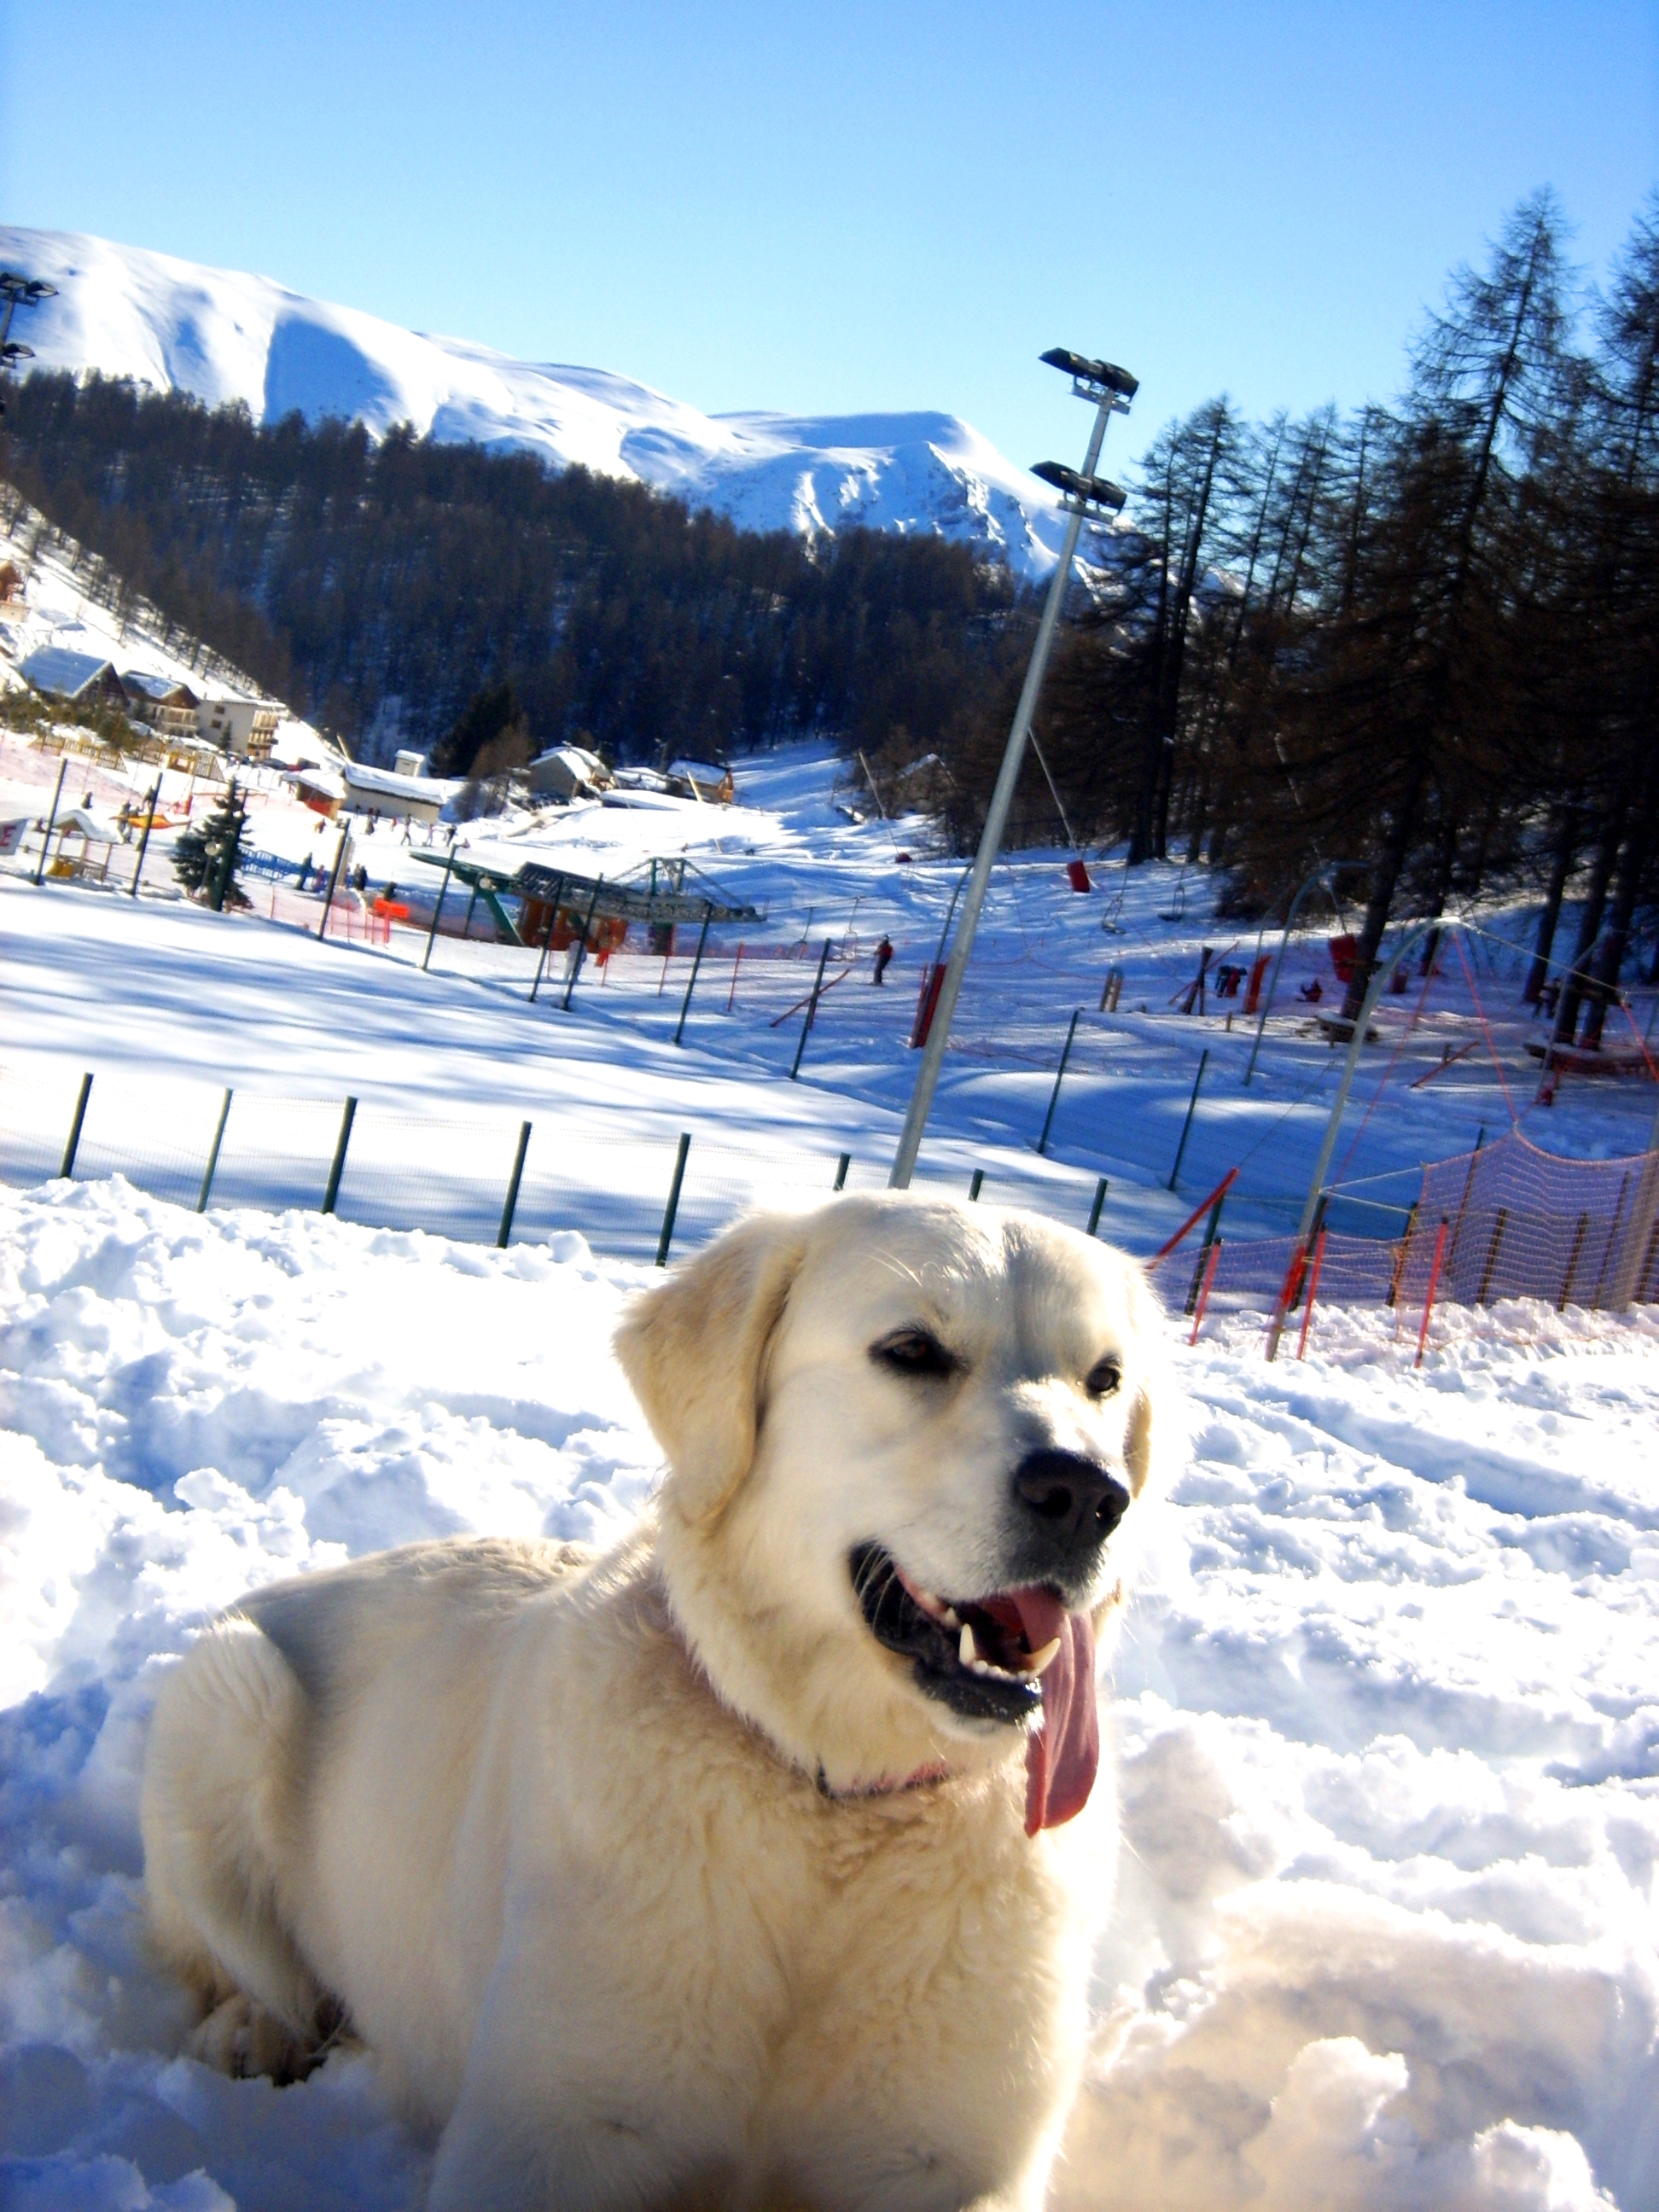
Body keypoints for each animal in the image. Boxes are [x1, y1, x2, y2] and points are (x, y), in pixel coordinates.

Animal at [146, 1203, 1185, 2203]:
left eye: (1104, 1379)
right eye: (913, 1351)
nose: (1088, 1494)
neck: (831, 1806)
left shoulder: (953, 2157)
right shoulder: (543, 2133)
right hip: (229, 1691)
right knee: (238, 1966)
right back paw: (251, 2032)